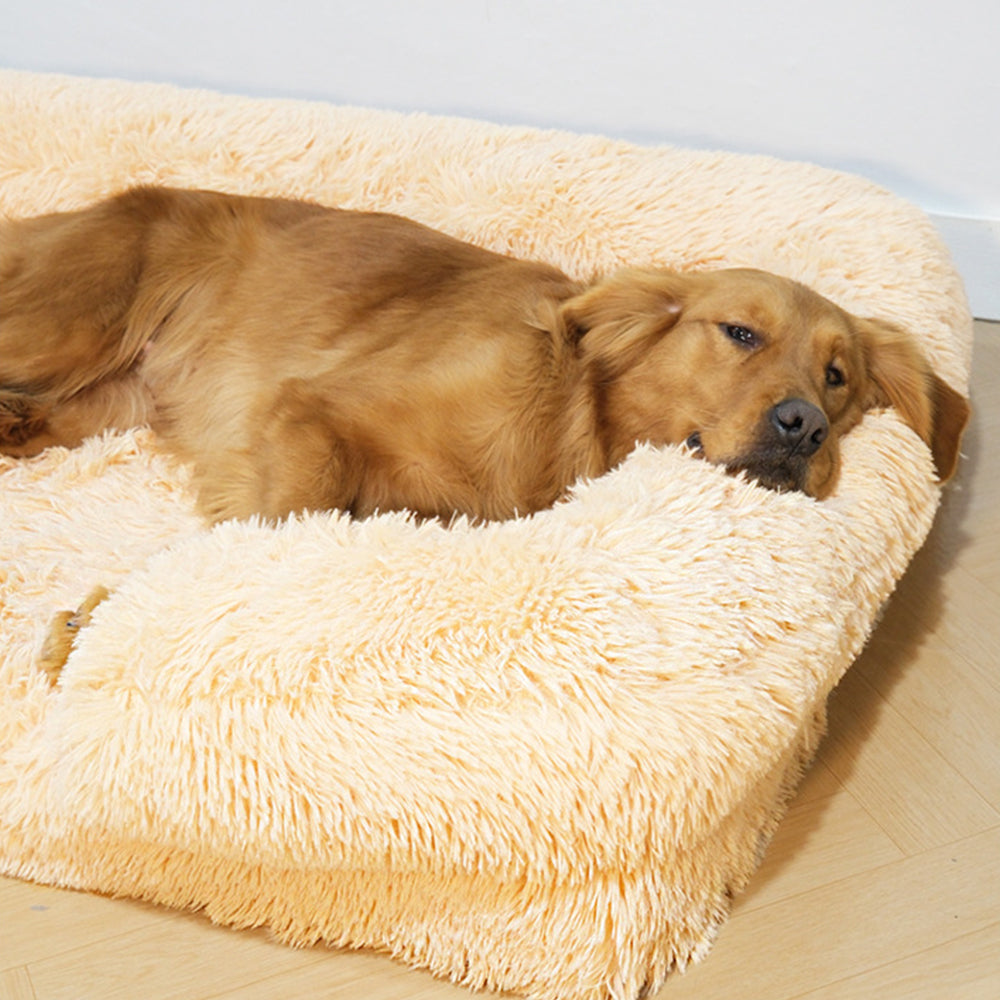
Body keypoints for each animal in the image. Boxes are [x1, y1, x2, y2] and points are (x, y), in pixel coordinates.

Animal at [0, 186, 968, 524]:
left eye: (838, 379)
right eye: (740, 334)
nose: (805, 427)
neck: (566, 417)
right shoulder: (308, 411)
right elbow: (295, 515)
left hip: (104, 401)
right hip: (67, 325)